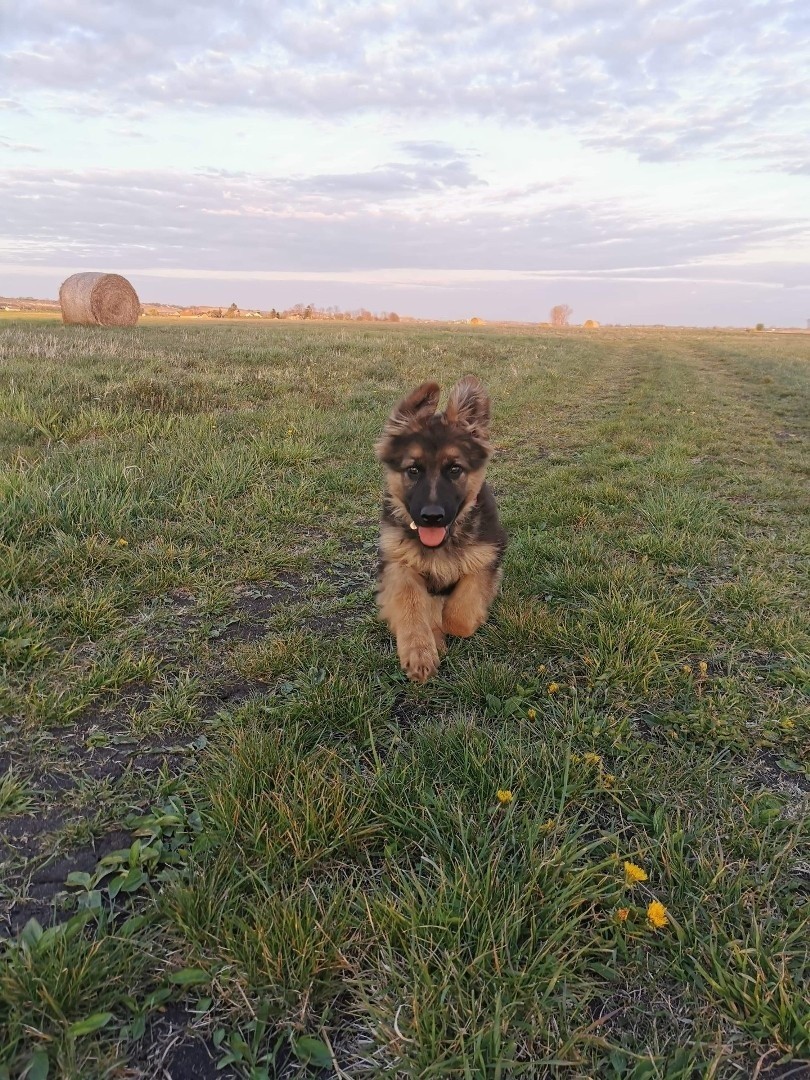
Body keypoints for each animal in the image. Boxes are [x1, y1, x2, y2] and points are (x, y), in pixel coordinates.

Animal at [375, 378, 505, 682]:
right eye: (413, 470)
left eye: (455, 469)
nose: (432, 517)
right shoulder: (398, 565)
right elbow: (412, 607)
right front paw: (420, 651)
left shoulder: (487, 557)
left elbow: (460, 615)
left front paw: (449, 623)